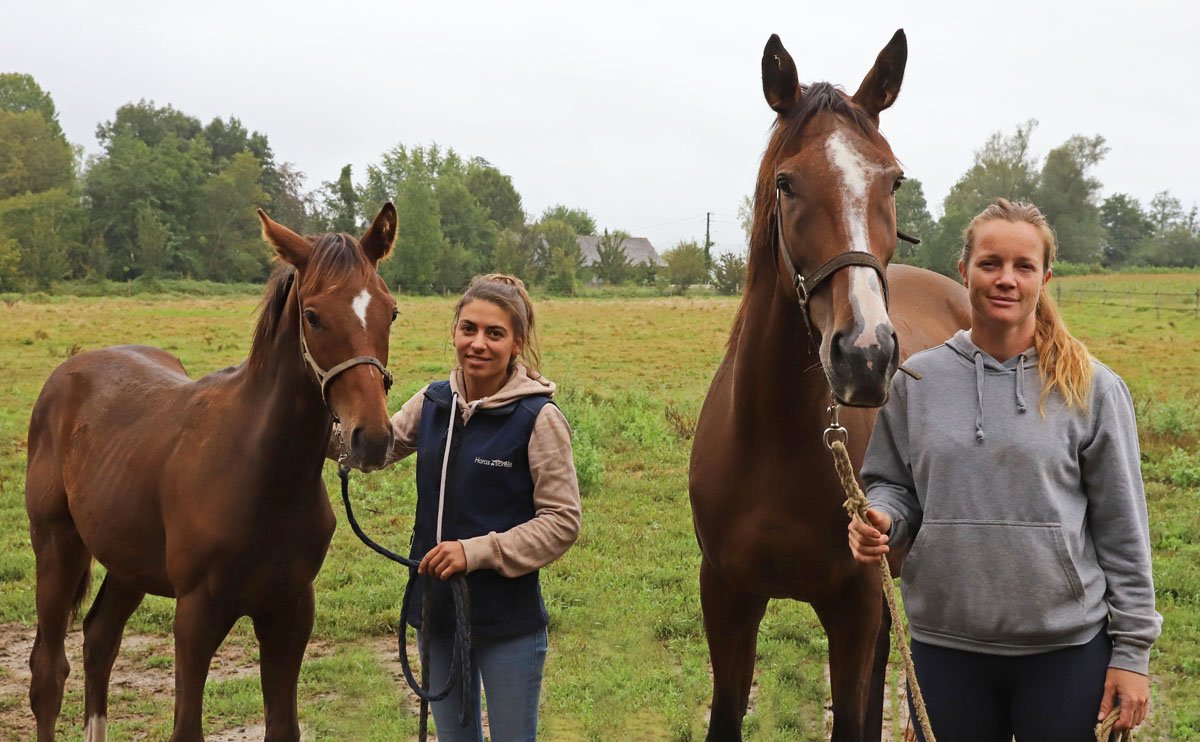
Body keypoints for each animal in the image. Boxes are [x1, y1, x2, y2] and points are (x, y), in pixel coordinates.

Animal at [23, 204, 399, 742]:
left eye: (391, 311)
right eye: (313, 316)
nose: (372, 438)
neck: (265, 476)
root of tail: (67, 373)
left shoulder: (290, 611)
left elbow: (283, 727)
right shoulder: (196, 615)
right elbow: (187, 728)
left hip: (128, 561)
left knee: (100, 639)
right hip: (57, 546)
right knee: (48, 673)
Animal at [689, 31, 971, 740]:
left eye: (893, 179)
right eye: (787, 183)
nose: (865, 354)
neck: (774, 441)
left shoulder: (855, 604)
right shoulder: (726, 597)